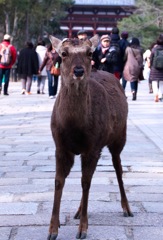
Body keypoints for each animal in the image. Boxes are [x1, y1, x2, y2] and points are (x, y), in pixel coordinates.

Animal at [47, 34, 133, 240]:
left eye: (88, 53)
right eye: (63, 53)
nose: (78, 70)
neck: (74, 126)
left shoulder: (92, 147)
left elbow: (85, 182)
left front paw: (83, 229)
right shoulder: (60, 146)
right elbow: (58, 181)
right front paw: (53, 229)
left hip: (119, 137)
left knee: (118, 169)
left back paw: (127, 208)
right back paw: (78, 212)